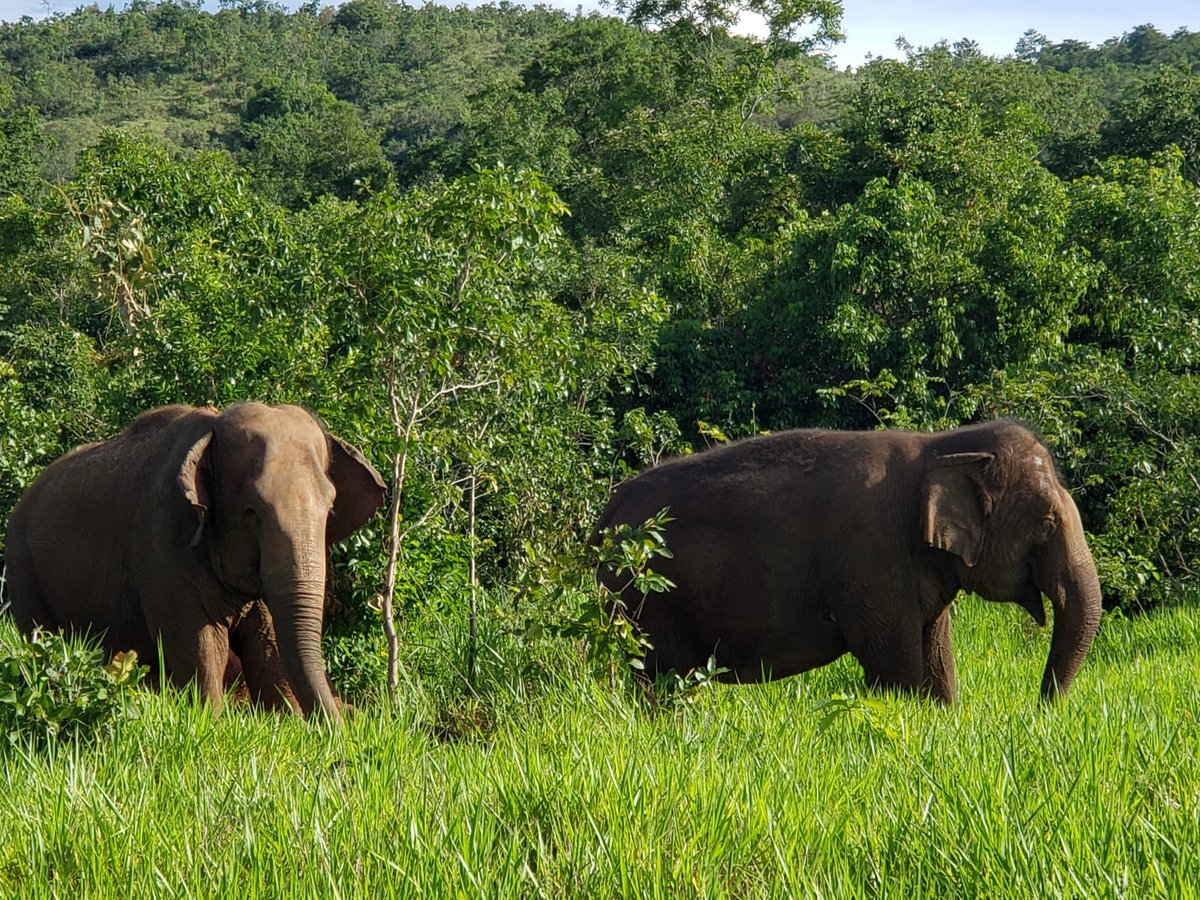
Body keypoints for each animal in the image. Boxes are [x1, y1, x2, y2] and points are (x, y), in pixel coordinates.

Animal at [4, 402, 386, 721]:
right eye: (251, 512)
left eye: (330, 508)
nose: (339, 734)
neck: (213, 428)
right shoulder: (164, 539)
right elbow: (200, 642)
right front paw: (212, 724)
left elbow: (269, 641)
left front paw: (288, 722)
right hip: (21, 570)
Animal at [594, 420, 1103, 703]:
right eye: (1044, 523)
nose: (1040, 708)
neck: (942, 445)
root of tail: (606, 514)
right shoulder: (871, 561)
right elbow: (896, 670)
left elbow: (938, 660)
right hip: (645, 598)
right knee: (663, 680)